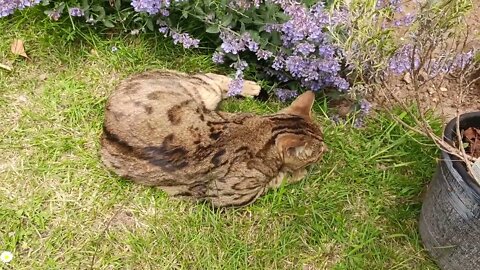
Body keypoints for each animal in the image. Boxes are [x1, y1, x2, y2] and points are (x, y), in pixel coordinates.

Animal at [100, 69, 326, 207]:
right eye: (320, 151)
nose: (327, 149)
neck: (266, 129)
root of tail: (106, 121)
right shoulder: (231, 197)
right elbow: (279, 179)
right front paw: (298, 173)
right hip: (208, 92)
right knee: (211, 78)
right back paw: (253, 88)